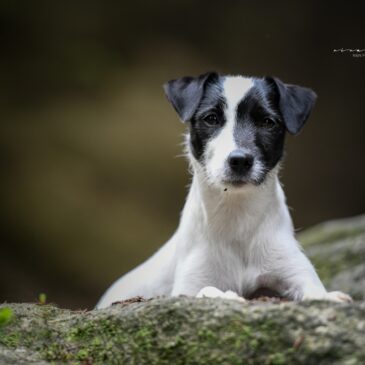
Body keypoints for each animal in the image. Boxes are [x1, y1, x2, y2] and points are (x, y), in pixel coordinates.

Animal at [96, 71, 350, 308]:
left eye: (268, 122)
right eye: (211, 118)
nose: (240, 160)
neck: (237, 218)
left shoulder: (294, 271)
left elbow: (316, 291)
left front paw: (331, 297)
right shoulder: (187, 287)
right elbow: (206, 289)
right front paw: (226, 295)